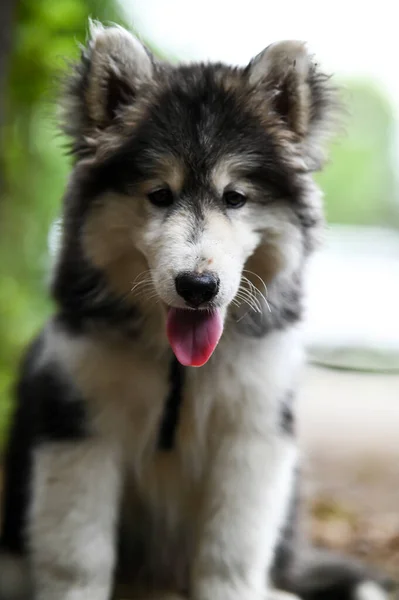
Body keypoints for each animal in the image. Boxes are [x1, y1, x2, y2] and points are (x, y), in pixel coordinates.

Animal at [0, 21, 394, 600]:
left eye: (235, 197)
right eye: (159, 194)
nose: (198, 286)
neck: (179, 368)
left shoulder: (253, 431)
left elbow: (232, 551)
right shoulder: (79, 422)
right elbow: (78, 552)